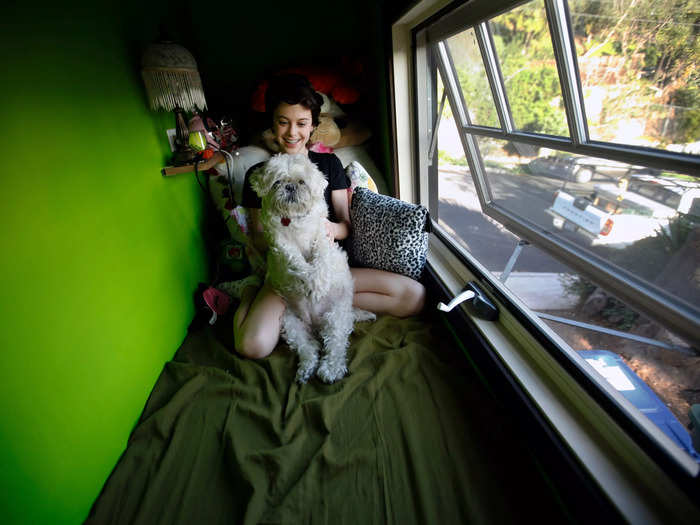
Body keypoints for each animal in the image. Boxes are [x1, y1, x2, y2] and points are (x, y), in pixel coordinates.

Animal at [250, 154, 374, 382]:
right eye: (277, 182)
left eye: (302, 182)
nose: (290, 187)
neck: (293, 220)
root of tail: (316, 326)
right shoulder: (279, 242)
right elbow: (295, 260)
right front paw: (307, 279)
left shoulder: (323, 235)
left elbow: (321, 258)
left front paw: (317, 284)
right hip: (291, 324)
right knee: (309, 347)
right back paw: (307, 369)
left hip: (336, 316)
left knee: (335, 344)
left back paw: (331, 369)